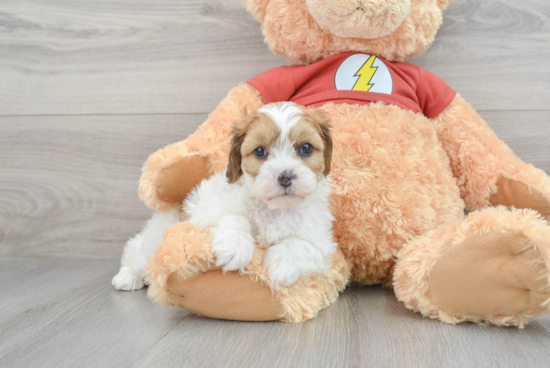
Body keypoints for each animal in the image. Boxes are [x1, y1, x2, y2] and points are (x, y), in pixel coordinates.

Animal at [113, 102, 336, 292]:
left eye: (306, 148)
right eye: (260, 151)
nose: (285, 176)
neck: (274, 209)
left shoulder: (321, 241)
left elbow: (303, 245)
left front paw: (283, 264)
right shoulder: (206, 208)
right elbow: (233, 216)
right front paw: (235, 246)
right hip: (151, 242)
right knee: (135, 252)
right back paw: (126, 277)